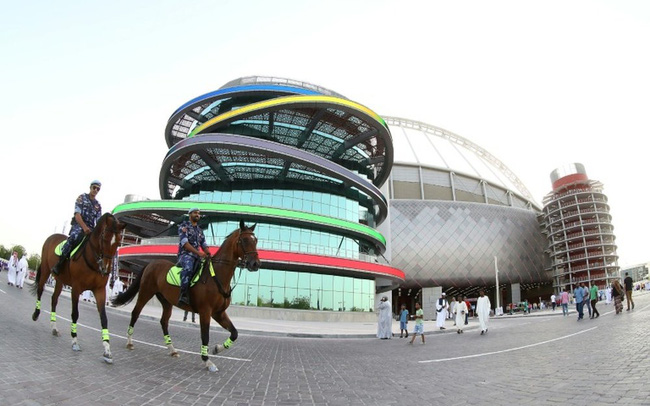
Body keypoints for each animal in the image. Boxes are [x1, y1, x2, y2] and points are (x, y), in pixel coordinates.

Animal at [30, 214, 126, 364]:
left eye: (117, 243)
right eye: (104, 238)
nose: (106, 269)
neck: (93, 259)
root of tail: (52, 237)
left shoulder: (100, 291)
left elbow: (104, 318)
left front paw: (107, 350)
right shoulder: (76, 288)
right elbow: (75, 314)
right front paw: (74, 340)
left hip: (60, 280)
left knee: (54, 299)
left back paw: (54, 327)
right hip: (45, 270)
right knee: (40, 290)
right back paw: (36, 314)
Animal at [112, 220, 260, 372]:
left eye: (256, 240)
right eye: (245, 240)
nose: (255, 263)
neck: (216, 276)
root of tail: (151, 264)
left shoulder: (219, 313)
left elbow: (234, 333)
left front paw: (217, 349)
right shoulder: (206, 312)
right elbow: (205, 336)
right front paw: (207, 360)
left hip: (166, 301)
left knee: (164, 322)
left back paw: (172, 349)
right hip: (145, 293)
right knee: (135, 313)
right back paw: (129, 342)